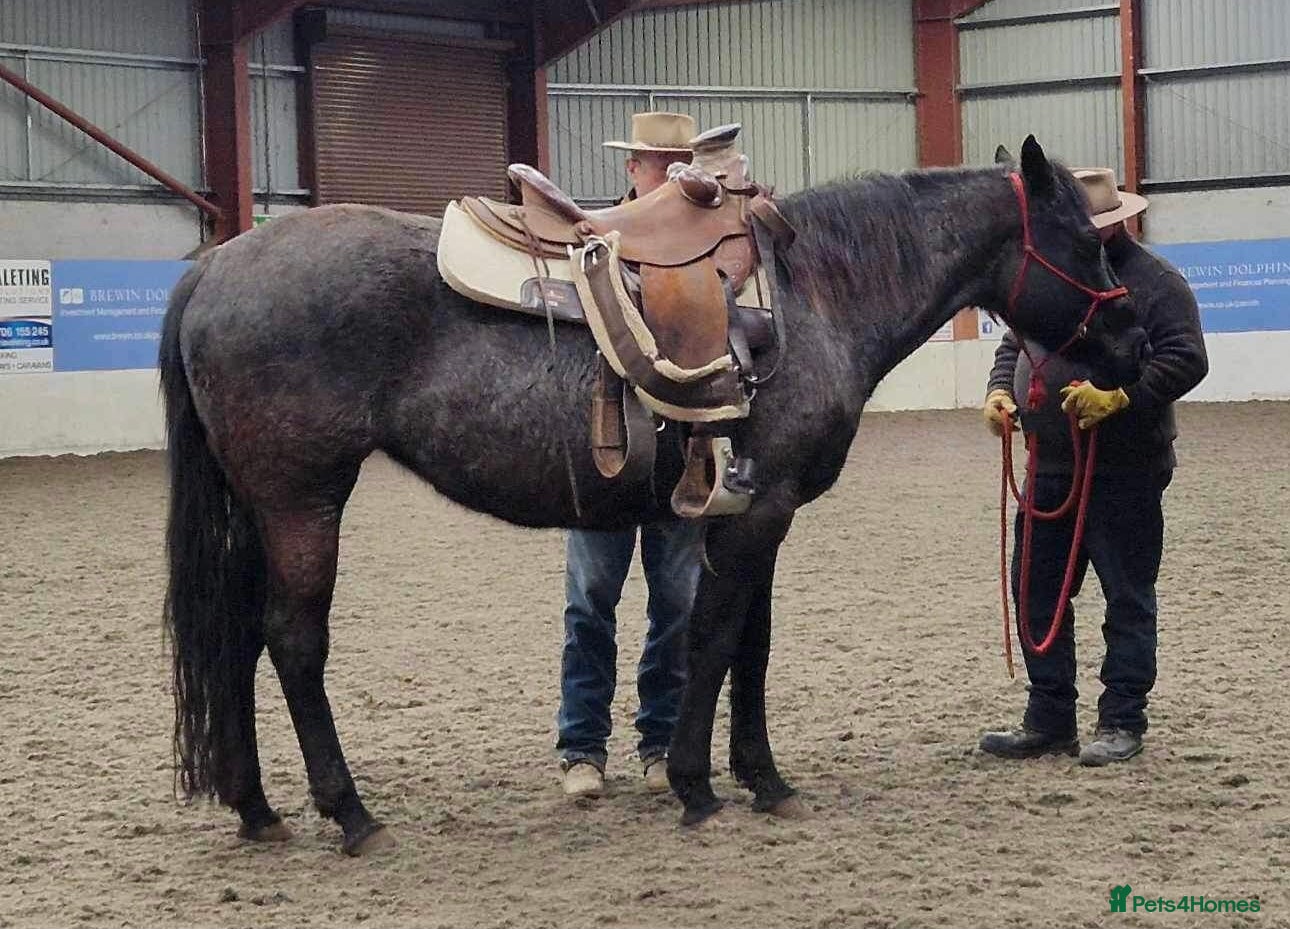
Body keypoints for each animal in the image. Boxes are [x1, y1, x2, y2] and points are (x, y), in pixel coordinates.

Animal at [159, 136, 1148, 854]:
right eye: (1086, 240)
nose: (1137, 339)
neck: (814, 295)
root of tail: (215, 264)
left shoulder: (757, 513)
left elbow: (751, 645)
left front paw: (763, 779)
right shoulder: (758, 513)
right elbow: (715, 640)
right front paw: (698, 784)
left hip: (261, 510)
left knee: (238, 637)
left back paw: (257, 807)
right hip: (302, 503)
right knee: (294, 643)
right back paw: (351, 813)